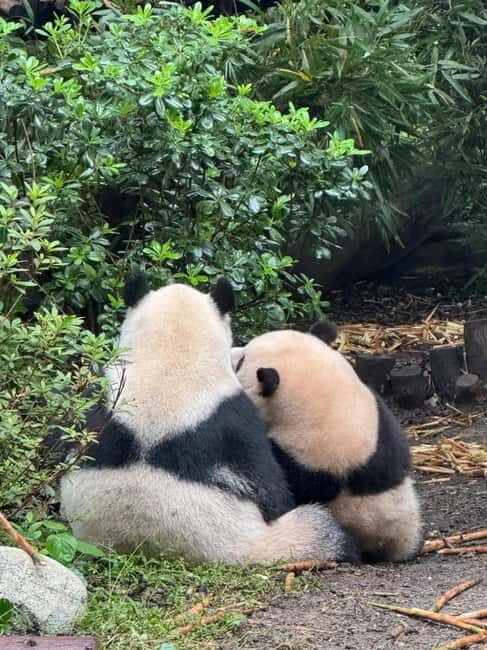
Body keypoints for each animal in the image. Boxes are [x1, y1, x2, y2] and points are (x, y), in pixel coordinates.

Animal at [60, 275, 358, 565]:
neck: (170, 360)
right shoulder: (235, 419)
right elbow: (270, 487)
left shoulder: (97, 397)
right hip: (274, 537)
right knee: (322, 529)